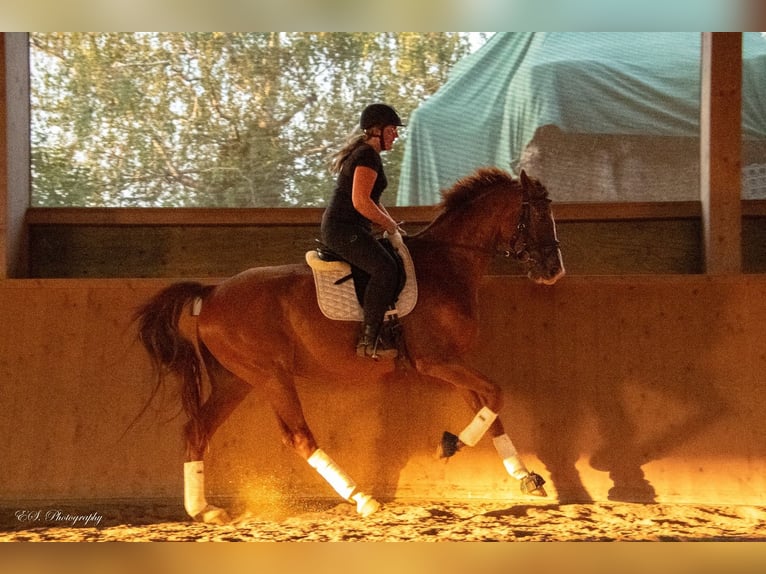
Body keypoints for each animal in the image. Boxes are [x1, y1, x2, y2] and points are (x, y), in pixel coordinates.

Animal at [134, 169, 564, 524]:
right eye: (540, 216)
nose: (555, 270)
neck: (448, 265)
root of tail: (211, 294)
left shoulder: (453, 362)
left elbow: (490, 407)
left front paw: (524, 477)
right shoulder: (435, 360)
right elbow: (496, 394)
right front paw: (451, 444)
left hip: (235, 381)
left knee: (197, 429)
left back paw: (204, 510)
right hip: (271, 377)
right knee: (299, 438)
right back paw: (363, 499)